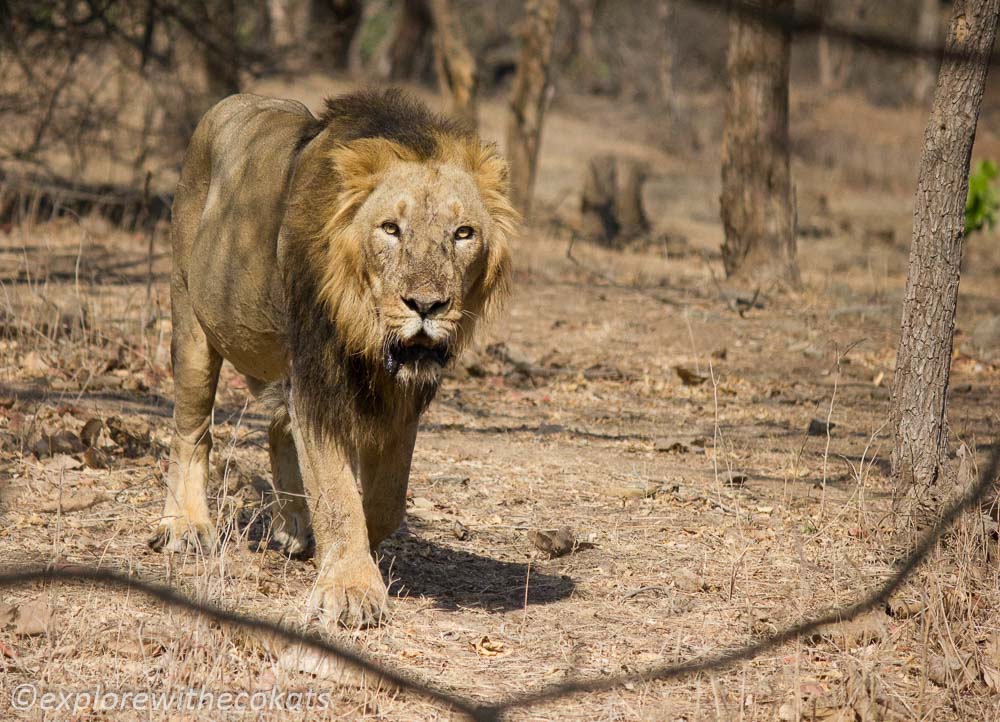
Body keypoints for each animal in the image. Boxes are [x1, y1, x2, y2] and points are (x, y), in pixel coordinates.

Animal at [152, 87, 520, 624]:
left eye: (463, 233)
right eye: (390, 228)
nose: (426, 305)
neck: (366, 331)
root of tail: (233, 101)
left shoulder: (401, 398)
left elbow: (385, 501)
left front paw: (346, 550)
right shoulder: (317, 379)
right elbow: (337, 491)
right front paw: (351, 589)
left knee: (276, 428)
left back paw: (292, 527)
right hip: (192, 322)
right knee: (192, 432)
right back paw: (184, 527)